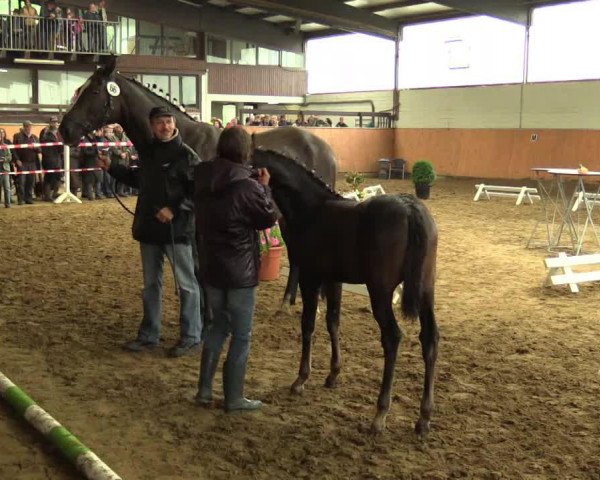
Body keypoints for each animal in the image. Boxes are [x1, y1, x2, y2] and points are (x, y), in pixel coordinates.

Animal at [253, 150, 440, 436]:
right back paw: (424, 418)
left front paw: (301, 379)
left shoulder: (310, 277)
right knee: (429, 339)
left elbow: (309, 324)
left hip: (380, 291)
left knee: (392, 337)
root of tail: (411, 208)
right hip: (425, 291)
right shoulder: (334, 280)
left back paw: (380, 414)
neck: (312, 210)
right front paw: (333, 374)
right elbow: (333, 322)